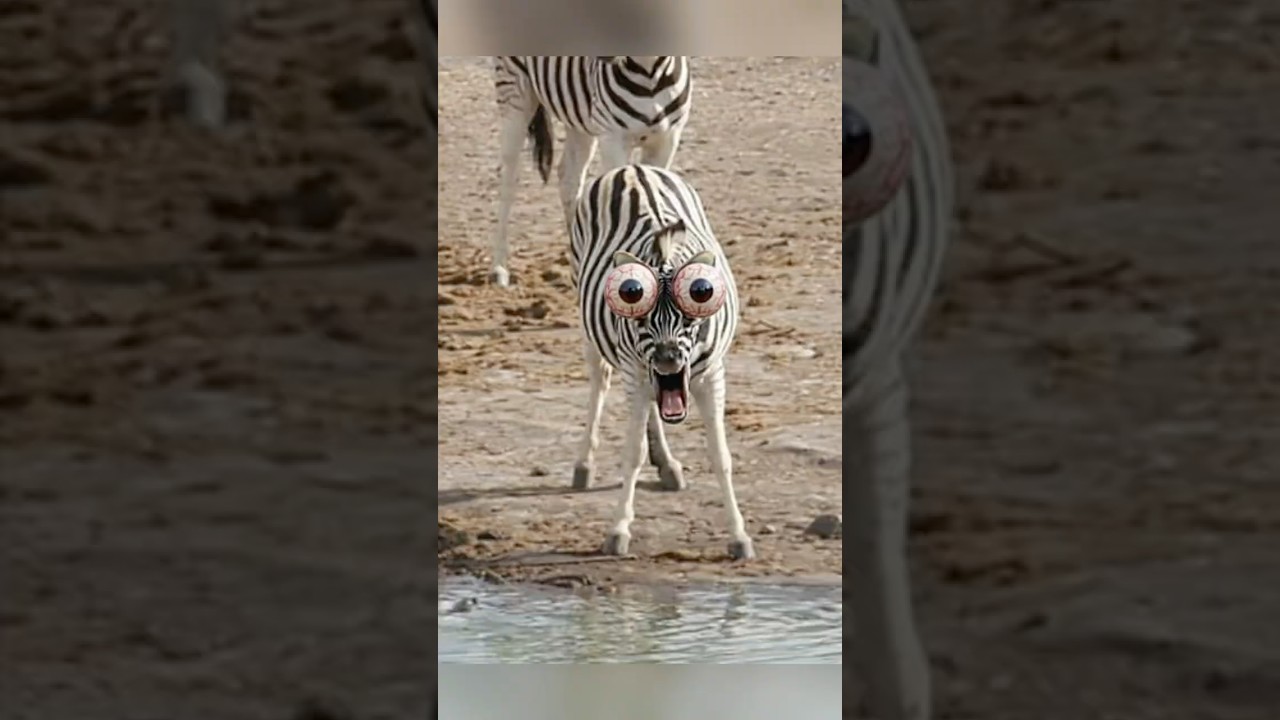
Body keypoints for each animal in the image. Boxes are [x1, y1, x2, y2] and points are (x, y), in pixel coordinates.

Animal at [489, 56, 692, 288]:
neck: (649, 73)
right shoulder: (613, 138)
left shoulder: (667, 139)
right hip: (514, 93)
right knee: (510, 178)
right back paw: (499, 268)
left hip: (576, 114)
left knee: (568, 178)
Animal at [569, 163, 753, 561]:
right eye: (639, 317)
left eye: (692, 311)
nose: (668, 361)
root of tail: (631, 169)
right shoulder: (637, 372)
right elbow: (632, 453)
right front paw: (619, 530)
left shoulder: (713, 374)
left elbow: (721, 455)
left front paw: (739, 535)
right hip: (586, 311)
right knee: (599, 376)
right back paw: (584, 464)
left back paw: (667, 466)